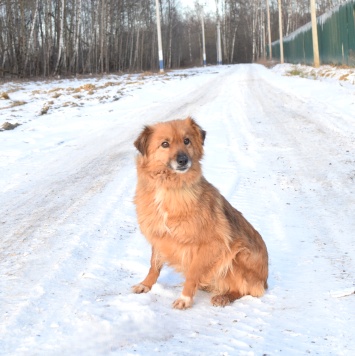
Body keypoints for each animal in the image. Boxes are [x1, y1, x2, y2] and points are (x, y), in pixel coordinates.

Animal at [132, 117, 268, 308]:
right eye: (165, 144)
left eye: (186, 141)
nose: (183, 160)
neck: (169, 187)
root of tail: (265, 281)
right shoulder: (159, 234)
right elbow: (154, 265)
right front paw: (146, 284)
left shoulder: (211, 243)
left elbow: (193, 273)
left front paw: (185, 298)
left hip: (238, 253)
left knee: (244, 290)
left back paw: (224, 296)